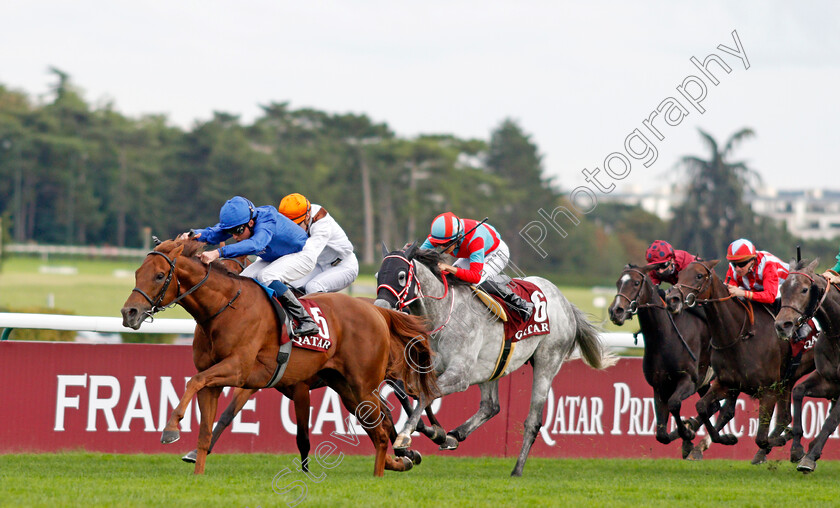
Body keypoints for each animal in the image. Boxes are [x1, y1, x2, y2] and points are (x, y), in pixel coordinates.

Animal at [124, 238, 440, 476]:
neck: (224, 308)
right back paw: (399, 460)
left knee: (384, 427)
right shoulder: (219, 379)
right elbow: (206, 424)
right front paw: (196, 471)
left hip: (363, 385)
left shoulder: (240, 371)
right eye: (137, 272)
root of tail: (377, 310)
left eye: (160, 276)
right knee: (379, 425)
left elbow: (195, 383)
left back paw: (389, 466)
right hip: (348, 390)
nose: (129, 313)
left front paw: (170, 429)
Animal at [376, 244, 616, 478]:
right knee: (491, 406)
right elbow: (407, 393)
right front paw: (434, 434)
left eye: (400, 276)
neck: (443, 315)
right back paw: (455, 434)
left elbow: (426, 395)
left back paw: (517, 470)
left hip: (547, 361)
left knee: (533, 420)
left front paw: (406, 437)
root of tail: (566, 302)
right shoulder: (427, 369)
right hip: (491, 368)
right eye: (379, 275)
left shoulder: (459, 375)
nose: (382, 308)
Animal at [608, 264, 712, 458]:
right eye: (618, 282)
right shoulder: (659, 386)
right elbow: (661, 434)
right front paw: (686, 437)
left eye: (636, 283)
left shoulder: (689, 381)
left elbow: (674, 403)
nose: (616, 311)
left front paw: (687, 433)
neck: (665, 336)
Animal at [664, 260, 812, 462]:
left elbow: (760, 438)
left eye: (699, 276)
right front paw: (725, 438)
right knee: (784, 417)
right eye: (679, 275)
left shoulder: (768, 390)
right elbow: (702, 406)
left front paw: (783, 441)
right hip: (787, 380)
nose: (672, 299)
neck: (739, 335)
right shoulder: (727, 383)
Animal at [776, 258, 840, 472]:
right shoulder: (828, 381)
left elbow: (830, 421)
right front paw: (797, 449)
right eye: (782, 287)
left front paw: (810, 457)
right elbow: (797, 392)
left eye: (804, 290)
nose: (782, 325)